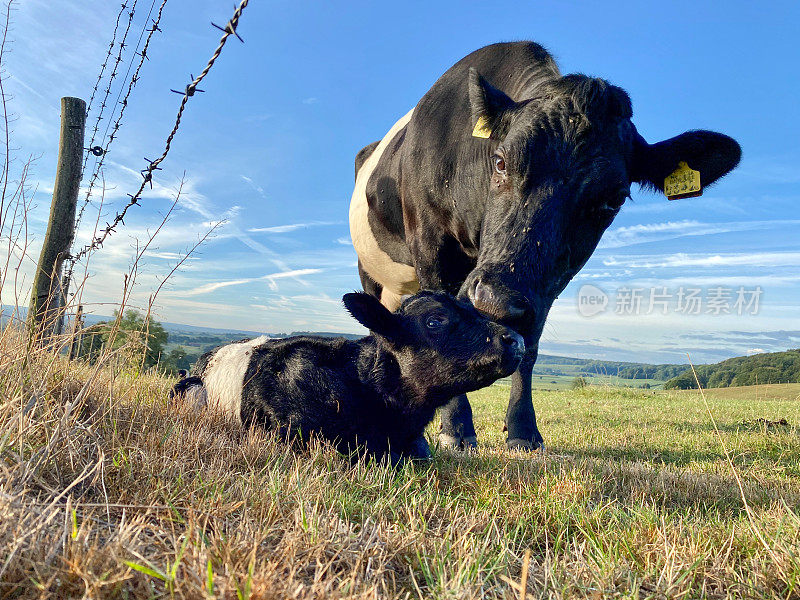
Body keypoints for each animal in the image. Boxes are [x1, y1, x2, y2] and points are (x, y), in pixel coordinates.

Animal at [352, 41, 744, 450]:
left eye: (614, 199)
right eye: (500, 162)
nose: (494, 302)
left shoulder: (542, 287)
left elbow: (530, 345)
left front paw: (523, 430)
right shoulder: (432, 247)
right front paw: (456, 430)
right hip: (371, 272)